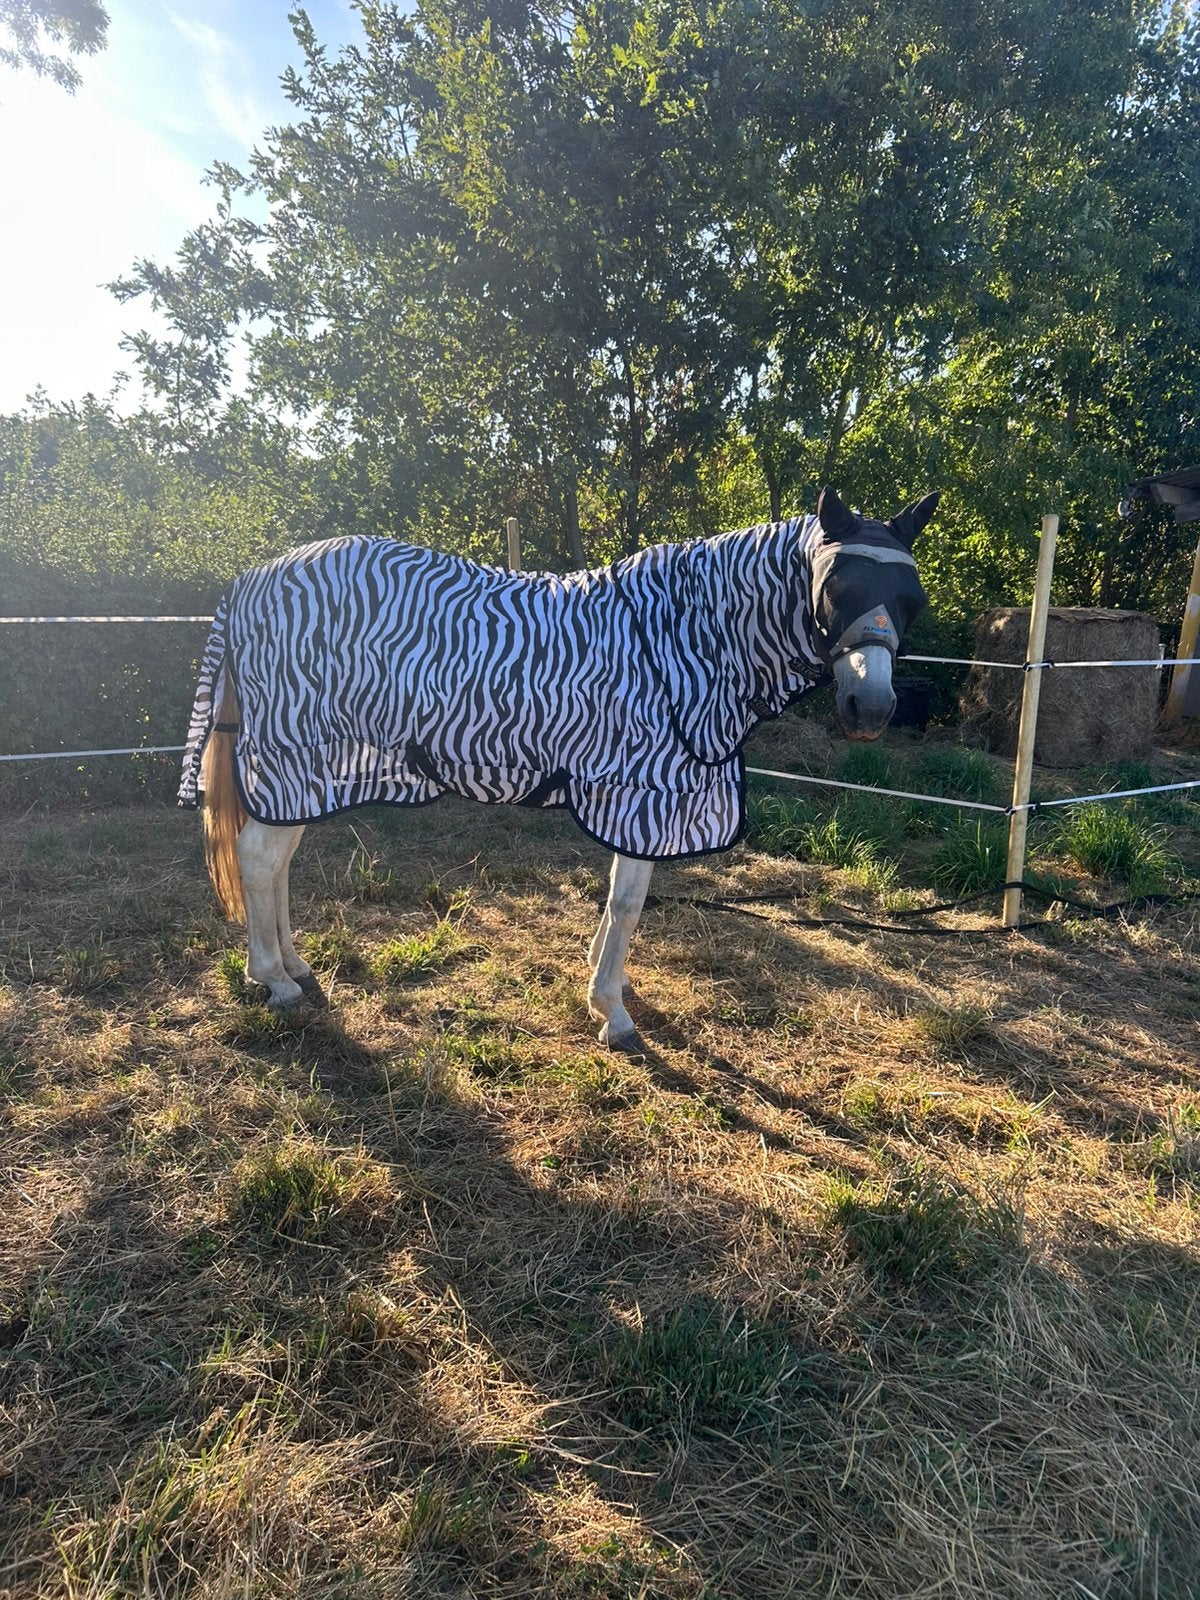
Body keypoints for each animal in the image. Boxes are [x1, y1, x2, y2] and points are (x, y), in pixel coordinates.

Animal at [180, 486, 936, 1051]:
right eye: (836, 585)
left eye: (913, 599)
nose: (872, 708)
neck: (678, 640)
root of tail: (250, 580)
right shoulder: (642, 787)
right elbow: (628, 903)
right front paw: (613, 1012)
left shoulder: (638, 791)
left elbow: (618, 898)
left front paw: (605, 985)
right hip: (296, 754)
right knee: (257, 858)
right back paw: (274, 981)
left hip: (309, 771)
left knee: (275, 862)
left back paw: (296, 968)